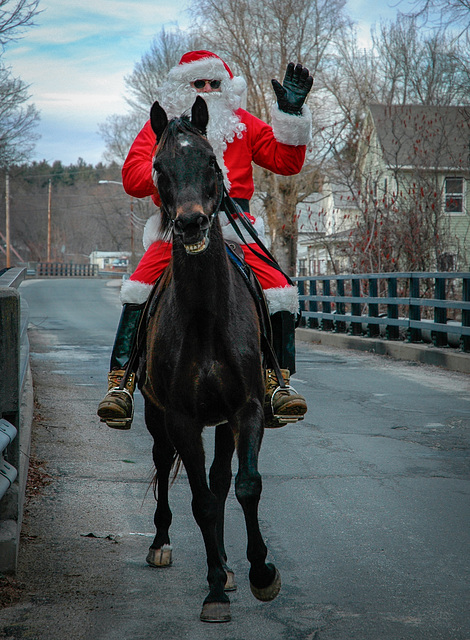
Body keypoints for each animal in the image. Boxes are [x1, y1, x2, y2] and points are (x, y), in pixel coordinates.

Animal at [141, 97, 280, 624]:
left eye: (210, 163)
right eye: (159, 168)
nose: (191, 223)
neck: (205, 316)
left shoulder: (246, 410)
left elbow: (244, 486)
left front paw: (260, 572)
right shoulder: (181, 417)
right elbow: (200, 501)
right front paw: (215, 589)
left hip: (222, 422)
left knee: (222, 482)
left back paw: (228, 564)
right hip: (157, 416)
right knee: (165, 465)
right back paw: (164, 544)